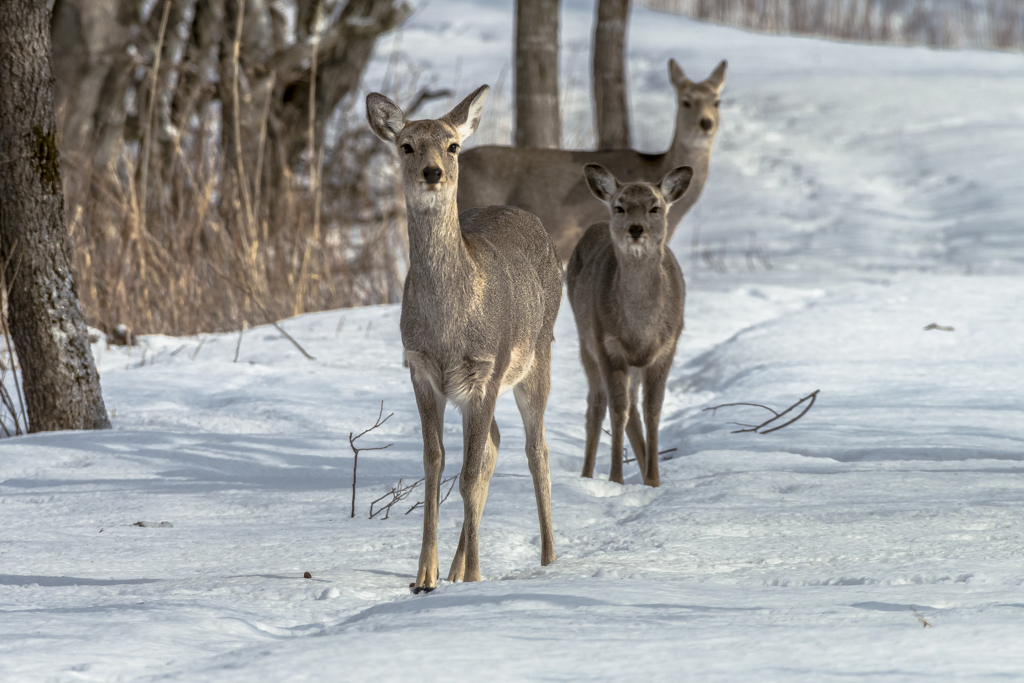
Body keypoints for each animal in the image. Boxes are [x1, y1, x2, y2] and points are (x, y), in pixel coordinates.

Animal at [366, 83, 565, 593]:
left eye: (453, 146)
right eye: (406, 145)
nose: (433, 172)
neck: (447, 326)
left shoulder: (486, 369)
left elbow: (470, 473)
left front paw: (475, 577)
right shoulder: (420, 369)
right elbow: (435, 463)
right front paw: (425, 576)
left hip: (538, 354)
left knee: (536, 449)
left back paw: (549, 560)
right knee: (494, 443)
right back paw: (454, 569)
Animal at [565, 162, 692, 489]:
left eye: (655, 207)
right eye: (620, 207)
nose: (636, 229)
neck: (640, 329)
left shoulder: (666, 348)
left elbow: (653, 411)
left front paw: (654, 480)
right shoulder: (607, 347)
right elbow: (617, 410)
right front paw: (615, 479)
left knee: (633, 406)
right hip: (585, 342)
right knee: (596, 405)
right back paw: (587, 475)